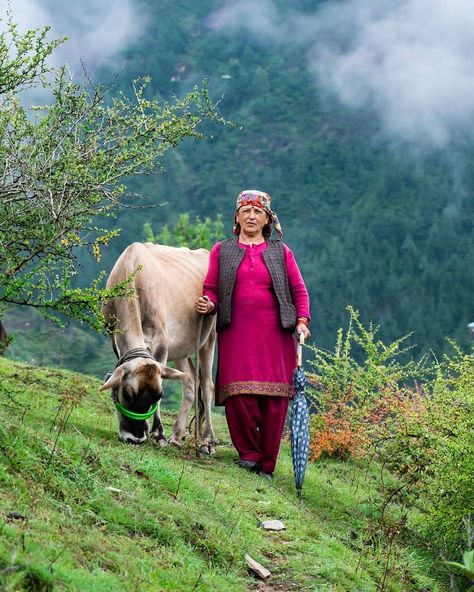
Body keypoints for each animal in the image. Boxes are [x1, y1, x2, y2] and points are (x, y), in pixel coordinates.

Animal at [101, 239, 218, 448]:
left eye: (158, 395)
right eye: (127, 394)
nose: (135, 437)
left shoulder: (162, 341)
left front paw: (158, 434)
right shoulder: (114, 338)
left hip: (209, 337)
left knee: (206, 385)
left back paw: (206, 441)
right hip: (180, 348)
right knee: (189, 381)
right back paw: (177, 435)